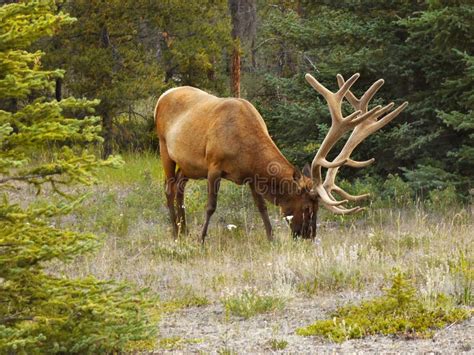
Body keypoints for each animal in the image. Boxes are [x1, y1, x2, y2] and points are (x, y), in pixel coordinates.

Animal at [156, 73, 408, 243]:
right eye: (307, 207)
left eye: (317, 209)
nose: (308, 236)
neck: (246, 149)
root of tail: (163, 95)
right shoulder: (214, 166)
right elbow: (210, 206)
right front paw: (202, 239)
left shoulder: (250, 175)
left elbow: (262, 208)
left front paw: (271, 238)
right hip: (164, 147)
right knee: (169, 187)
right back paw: (175, 232)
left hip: (189, 166)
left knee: (179, 187)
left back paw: (183, 229)